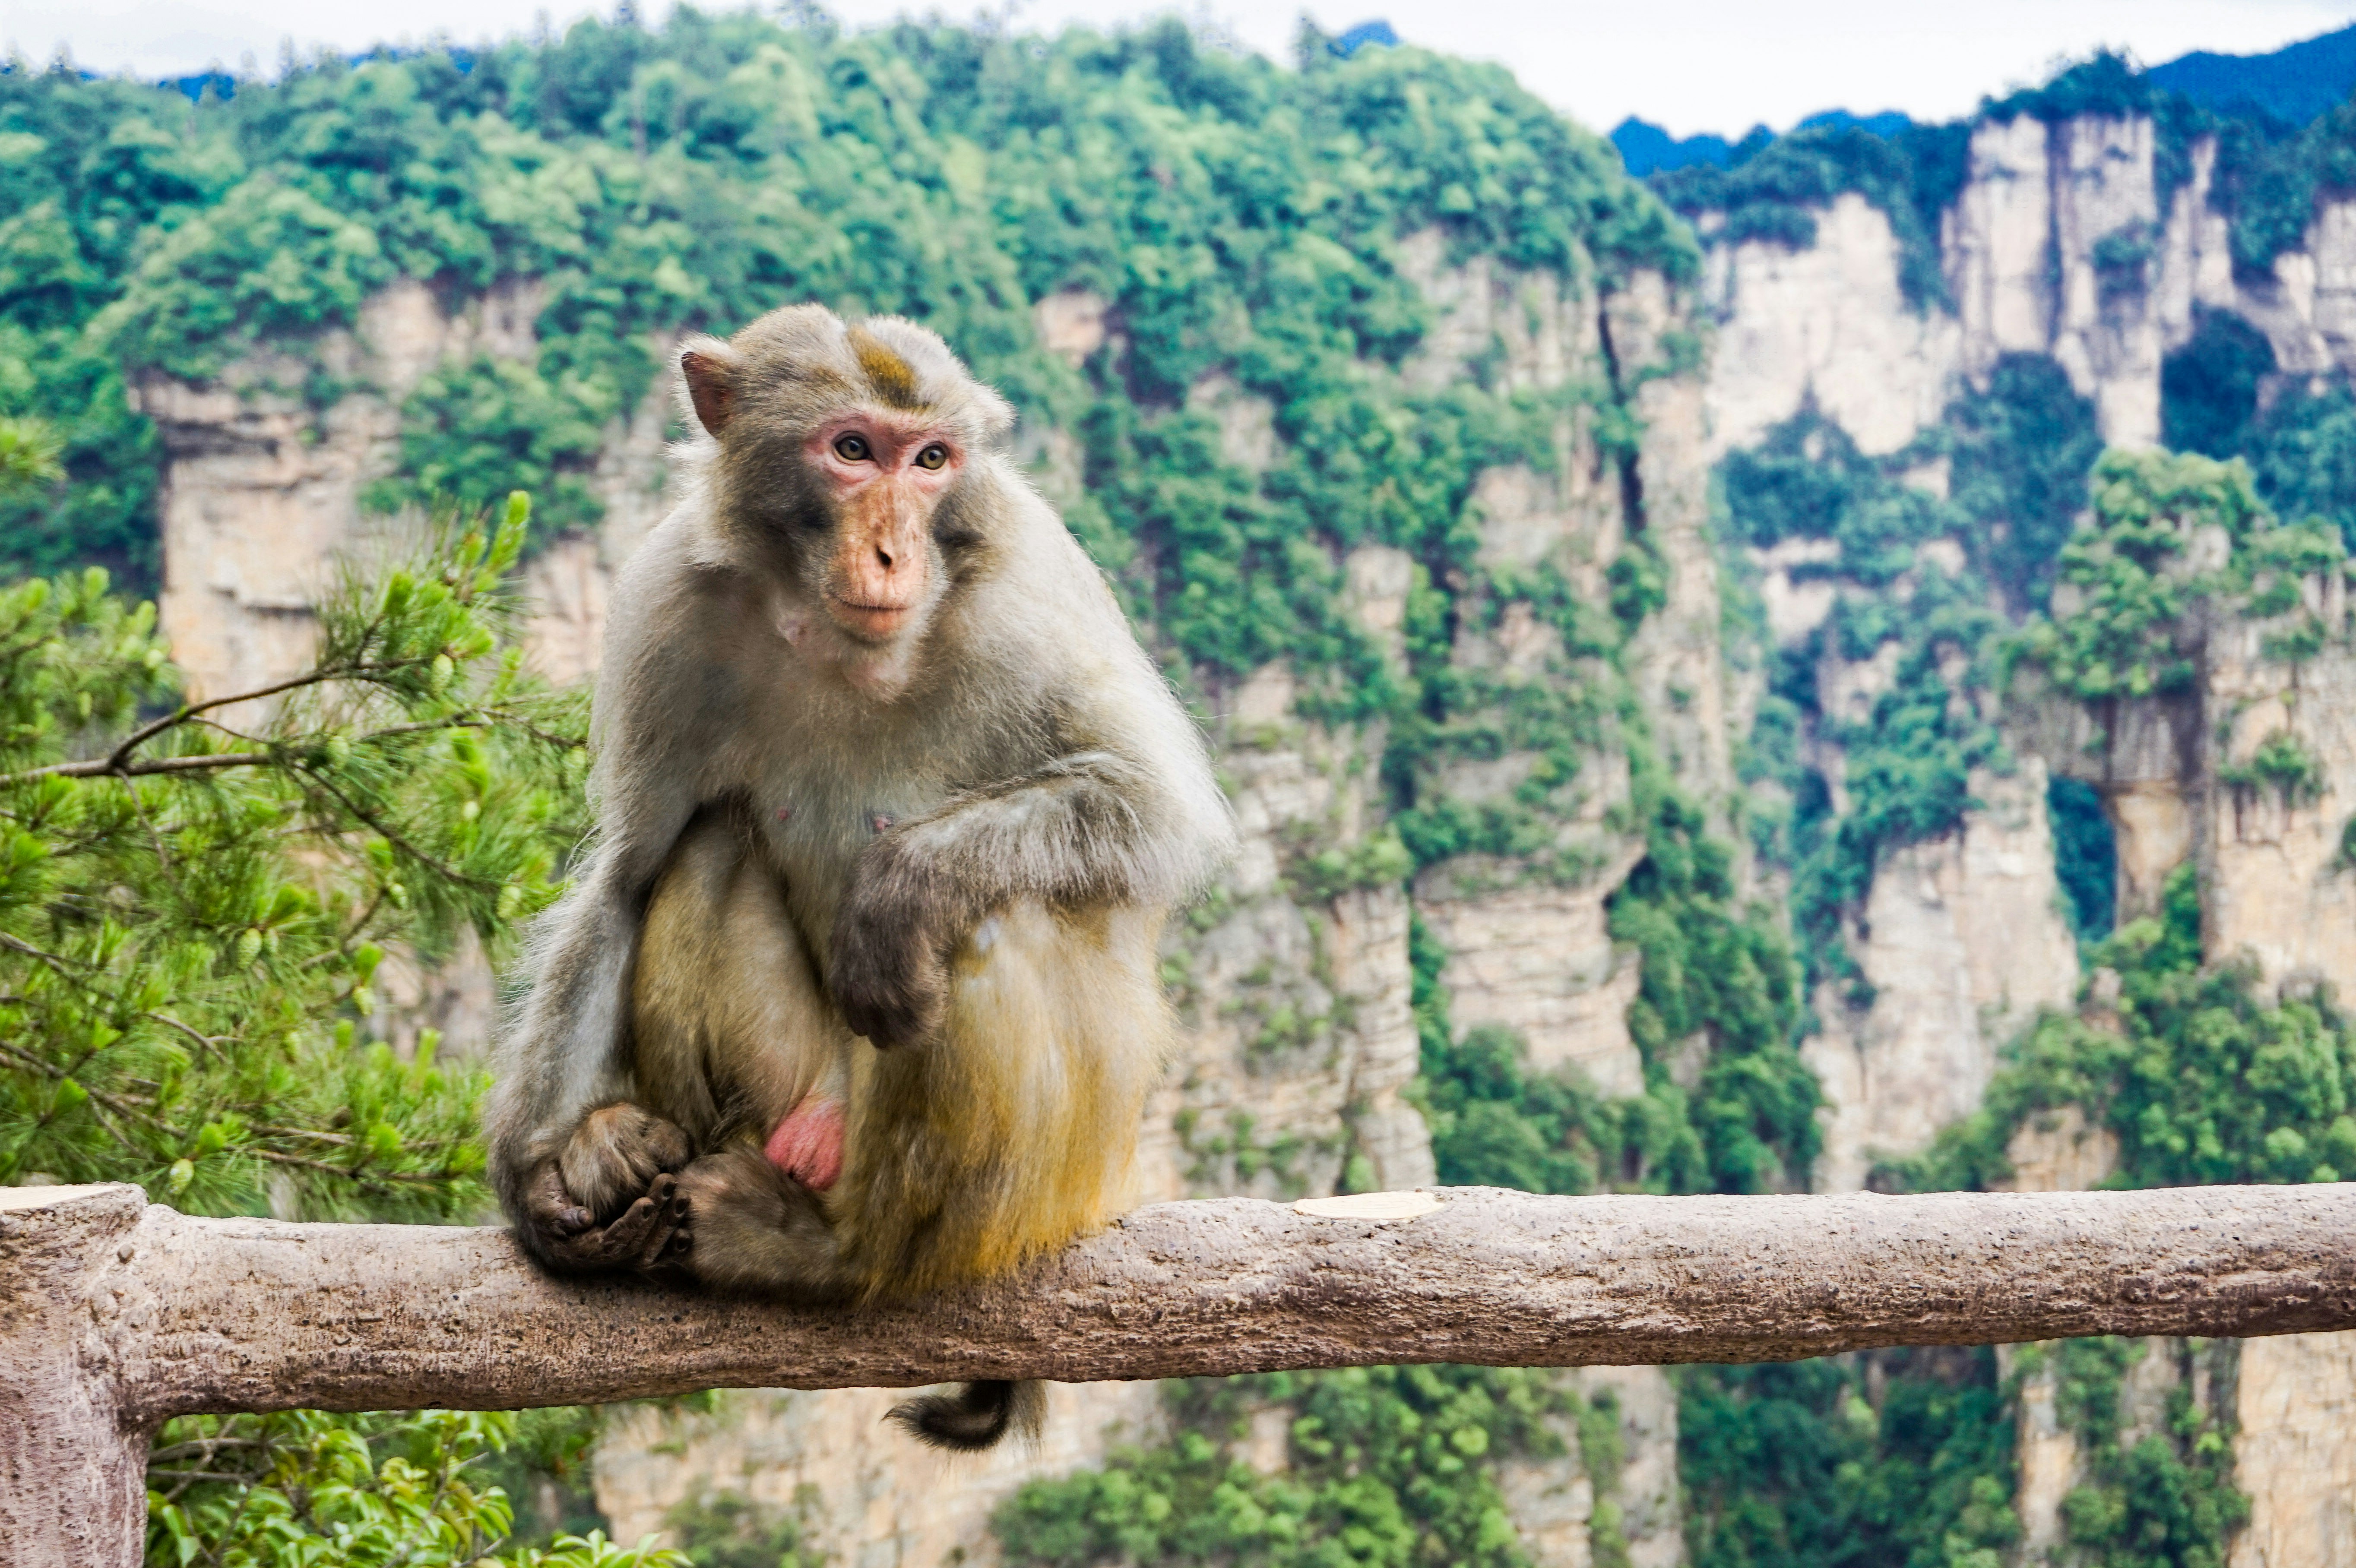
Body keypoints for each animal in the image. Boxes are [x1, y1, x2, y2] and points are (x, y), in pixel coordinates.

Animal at [484, 303, 1235, 1450]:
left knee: (982, 920)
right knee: (712, 844)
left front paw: (900, 882)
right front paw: (541, 1181)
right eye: (851, 450)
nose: (891, 551)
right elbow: (630, 872)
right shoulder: (671, 603)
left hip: (1047, 1181)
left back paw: (831, 1256)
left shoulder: (1030, 586)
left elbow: (1159, 812)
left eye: (931, 461)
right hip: (794, 1103)